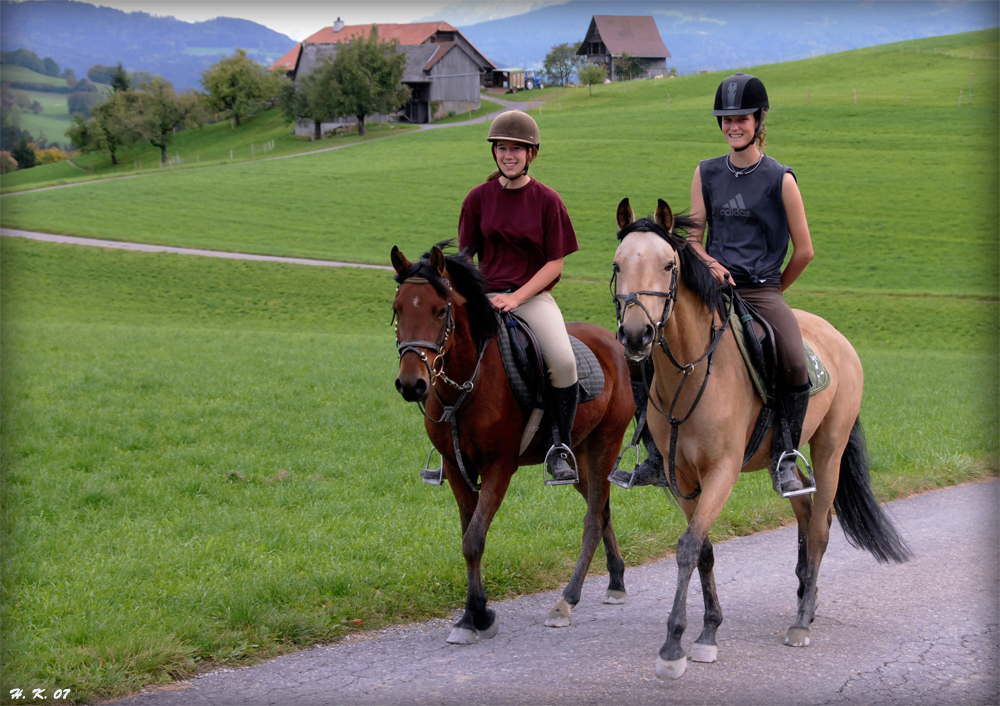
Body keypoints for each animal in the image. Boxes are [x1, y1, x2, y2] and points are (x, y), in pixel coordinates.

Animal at [388, 242, 632, 644]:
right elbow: (468, 537)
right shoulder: (456, 468)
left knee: (593, 520)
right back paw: (616, 582)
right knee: (603, 511)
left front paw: (475, 617)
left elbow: (474, 538)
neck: (466, 383)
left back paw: (566, 602)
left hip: (604, 445)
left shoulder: (499, 466)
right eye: (398, 309)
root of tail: (612, 342)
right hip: (578, 456)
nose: (412, 384)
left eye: (441, 311)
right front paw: (475, 614)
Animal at [608, 198, 916, 676]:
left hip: (829, 448)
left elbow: (687, 547)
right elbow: (703, 549)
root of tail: (837, 337)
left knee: (822, 526)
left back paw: (802, 621)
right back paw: (806, 594)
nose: (637, 335)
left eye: (667, 265)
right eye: (618, 265)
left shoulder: (721, 472)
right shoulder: (682, 479)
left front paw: (674, 645)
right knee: (805, 510)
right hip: (781, 459)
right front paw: (708, 631)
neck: (691, 373)